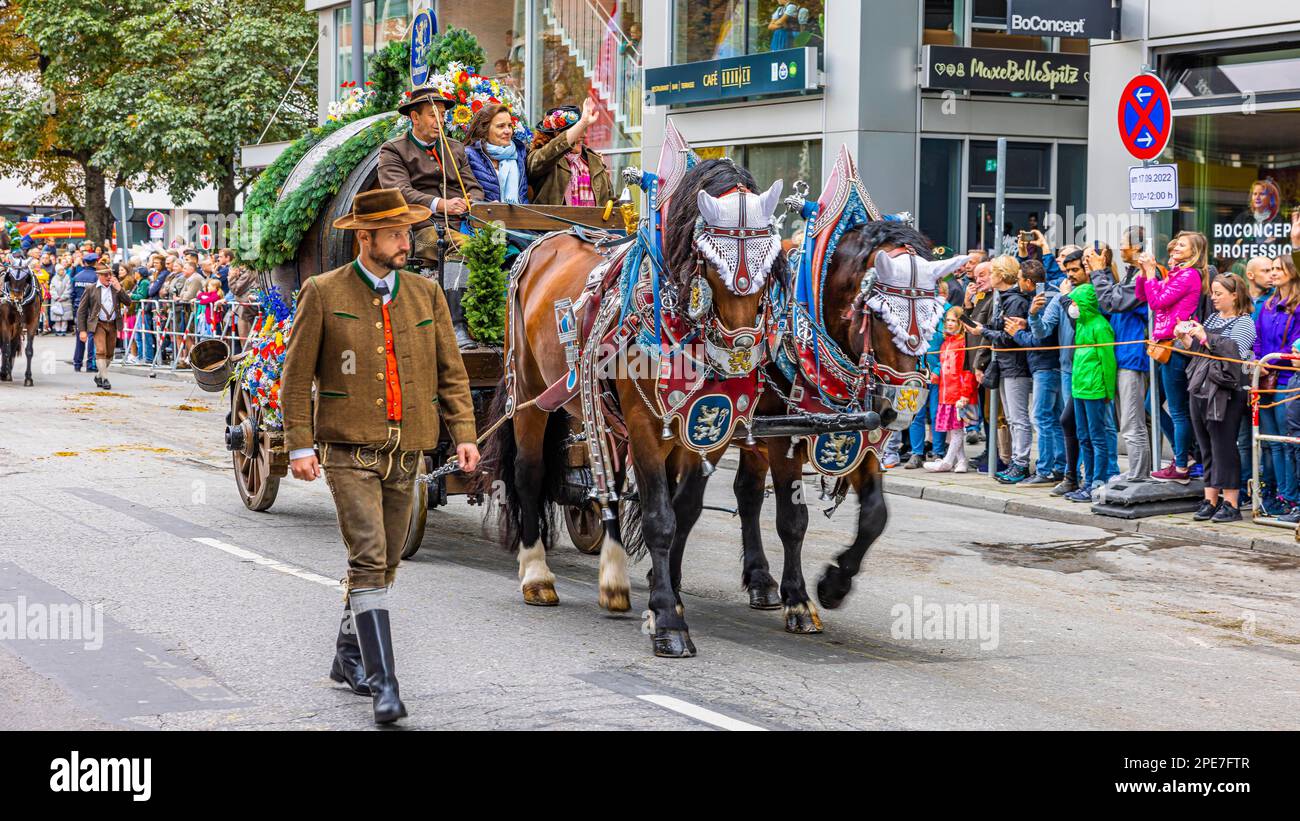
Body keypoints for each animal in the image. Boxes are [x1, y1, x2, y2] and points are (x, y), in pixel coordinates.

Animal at [486, 161, 780, 659]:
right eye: (710, 261)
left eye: (771, 258)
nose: (741, 350)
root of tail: (542, 243)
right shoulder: (646, 426)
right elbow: (660, 518)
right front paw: (669, 623)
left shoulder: (705, 434)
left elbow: (684, 513)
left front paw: (670, 598)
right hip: (528, 390)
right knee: (528, 473)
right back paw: (537, 575)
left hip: (600, 412)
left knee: (607, 484)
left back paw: (613, 579)